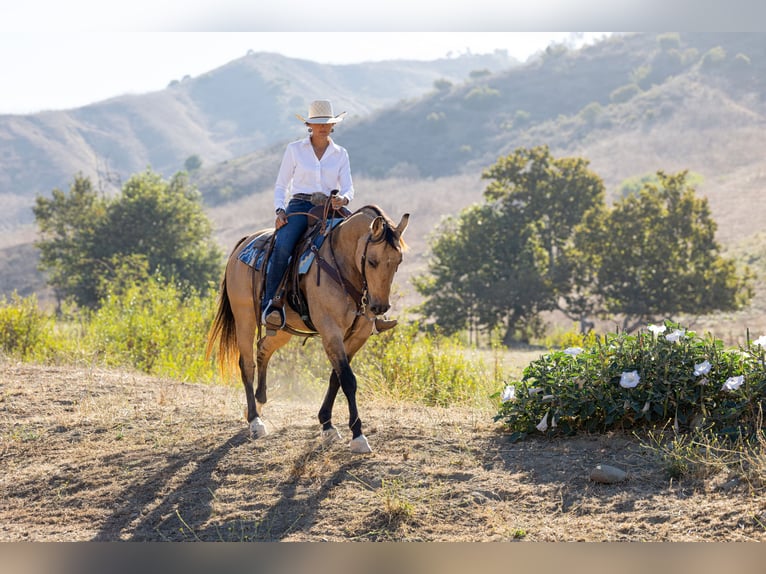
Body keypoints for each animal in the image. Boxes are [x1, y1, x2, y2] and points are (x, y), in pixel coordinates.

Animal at [206, 204, 409, 453]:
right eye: (372, 261)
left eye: (398, 261)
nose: (378, 307)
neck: (342, 265)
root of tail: (244, 244)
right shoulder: (330, 331)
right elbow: (348, 380)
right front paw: (358, 436)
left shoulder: (356, 337)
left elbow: (336, 378)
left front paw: (327, 425)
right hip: (244, 318)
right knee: (247, 364)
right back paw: (255, 421)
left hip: (282, 329)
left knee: (264, 349)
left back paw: (258, 403)